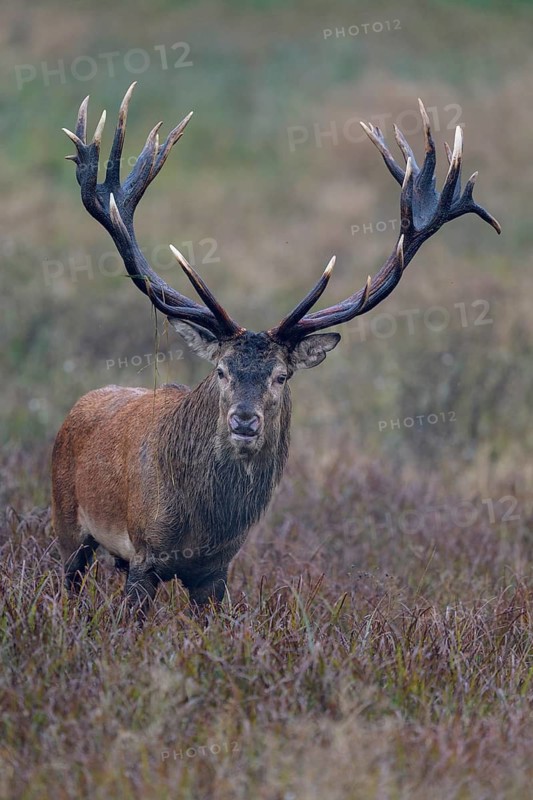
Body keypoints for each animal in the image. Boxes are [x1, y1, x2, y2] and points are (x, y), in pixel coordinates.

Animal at [53, 83, 500, 615]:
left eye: (281, 376)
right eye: (222, 371)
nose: (245, 420)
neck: (201, 527)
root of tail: (78, 406)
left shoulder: (216, 572)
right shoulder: (143, 556)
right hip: (67, 526)